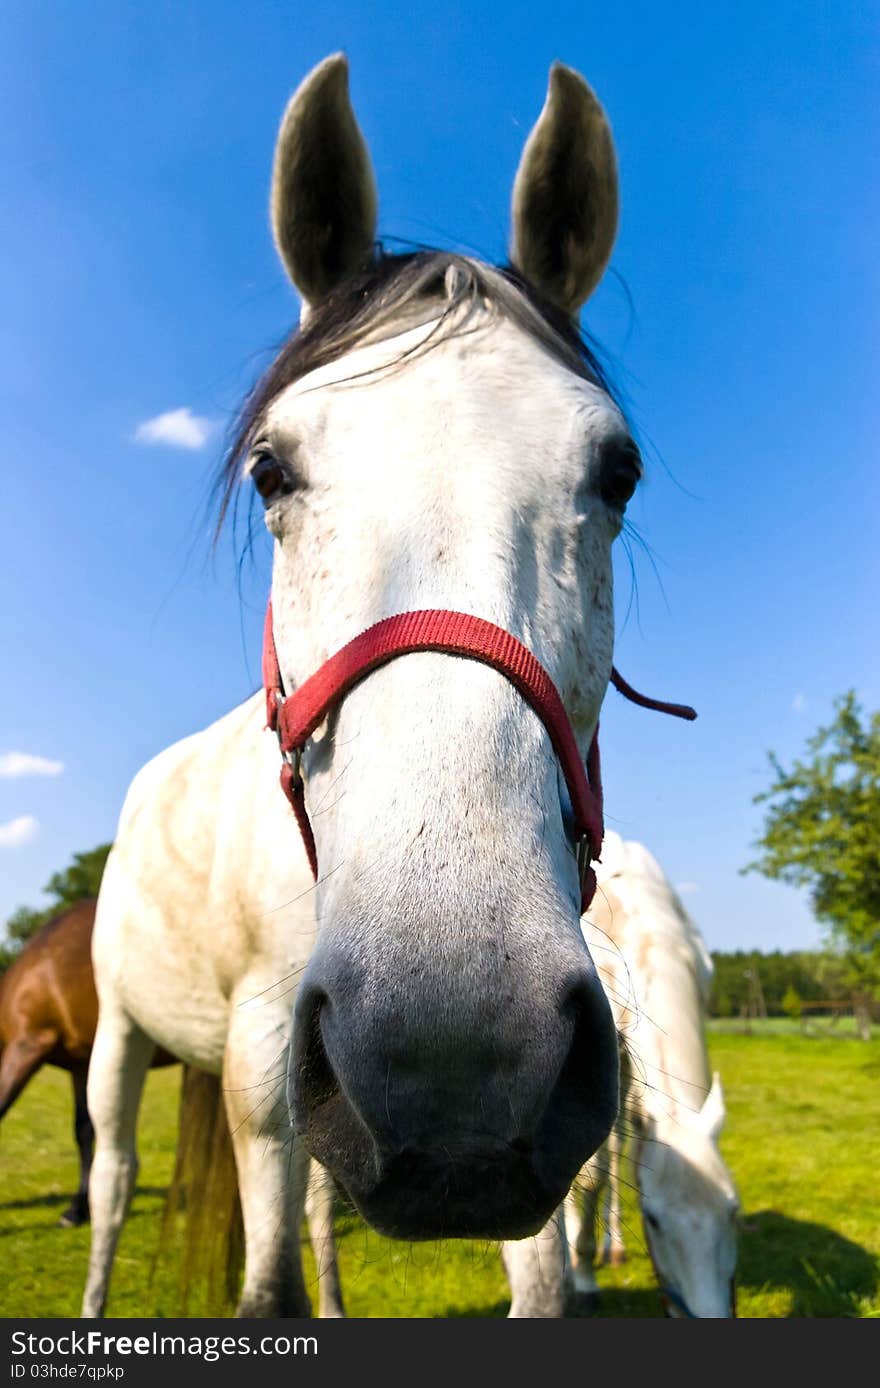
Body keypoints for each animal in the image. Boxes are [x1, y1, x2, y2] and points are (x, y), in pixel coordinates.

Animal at [80, 51, 644, 1310]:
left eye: (617, 471)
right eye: (270, 469)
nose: (454, 1060)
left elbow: (538, 1278)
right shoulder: (258, 1061)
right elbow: (265, 1280)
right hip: (119, 1038)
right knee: (112, 1179)